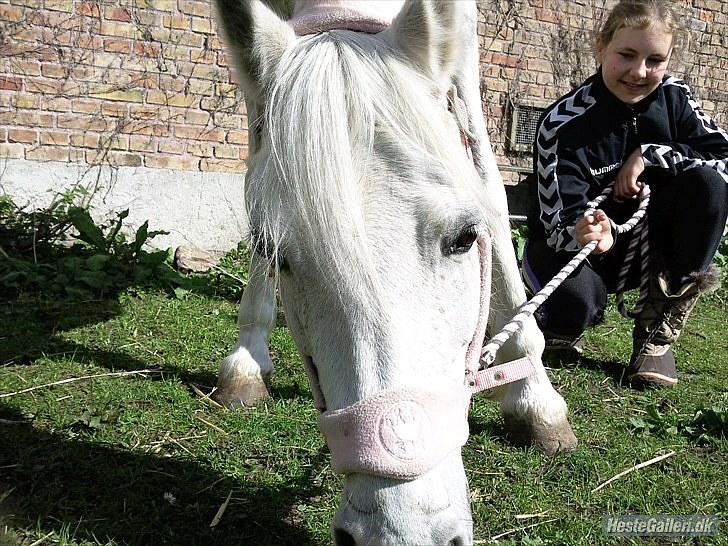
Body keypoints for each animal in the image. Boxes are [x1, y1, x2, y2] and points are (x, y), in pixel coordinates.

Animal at [213, 2, 576, 540]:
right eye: (274, 254)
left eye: (465, 237)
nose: (404, 534)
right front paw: (246, 362)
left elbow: (488, 185)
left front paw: (536, 399)